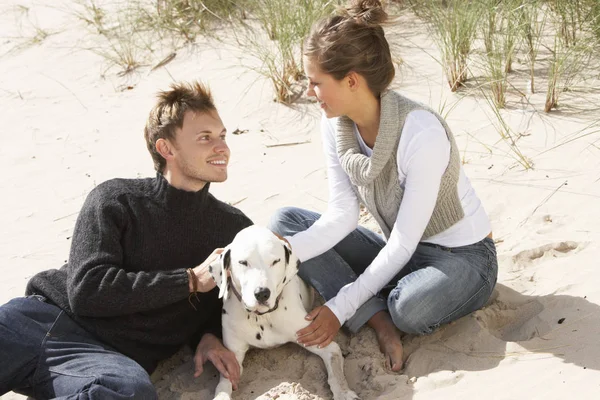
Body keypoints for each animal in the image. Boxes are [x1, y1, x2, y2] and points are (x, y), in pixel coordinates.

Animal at [209, 225, 358, 400]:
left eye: (275, 261)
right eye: (243, 262)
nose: (262, 293)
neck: (262, 317)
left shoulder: (320, 341)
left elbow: (336, 372)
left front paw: (344, 393)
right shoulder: (231, 360)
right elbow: (223, 386)